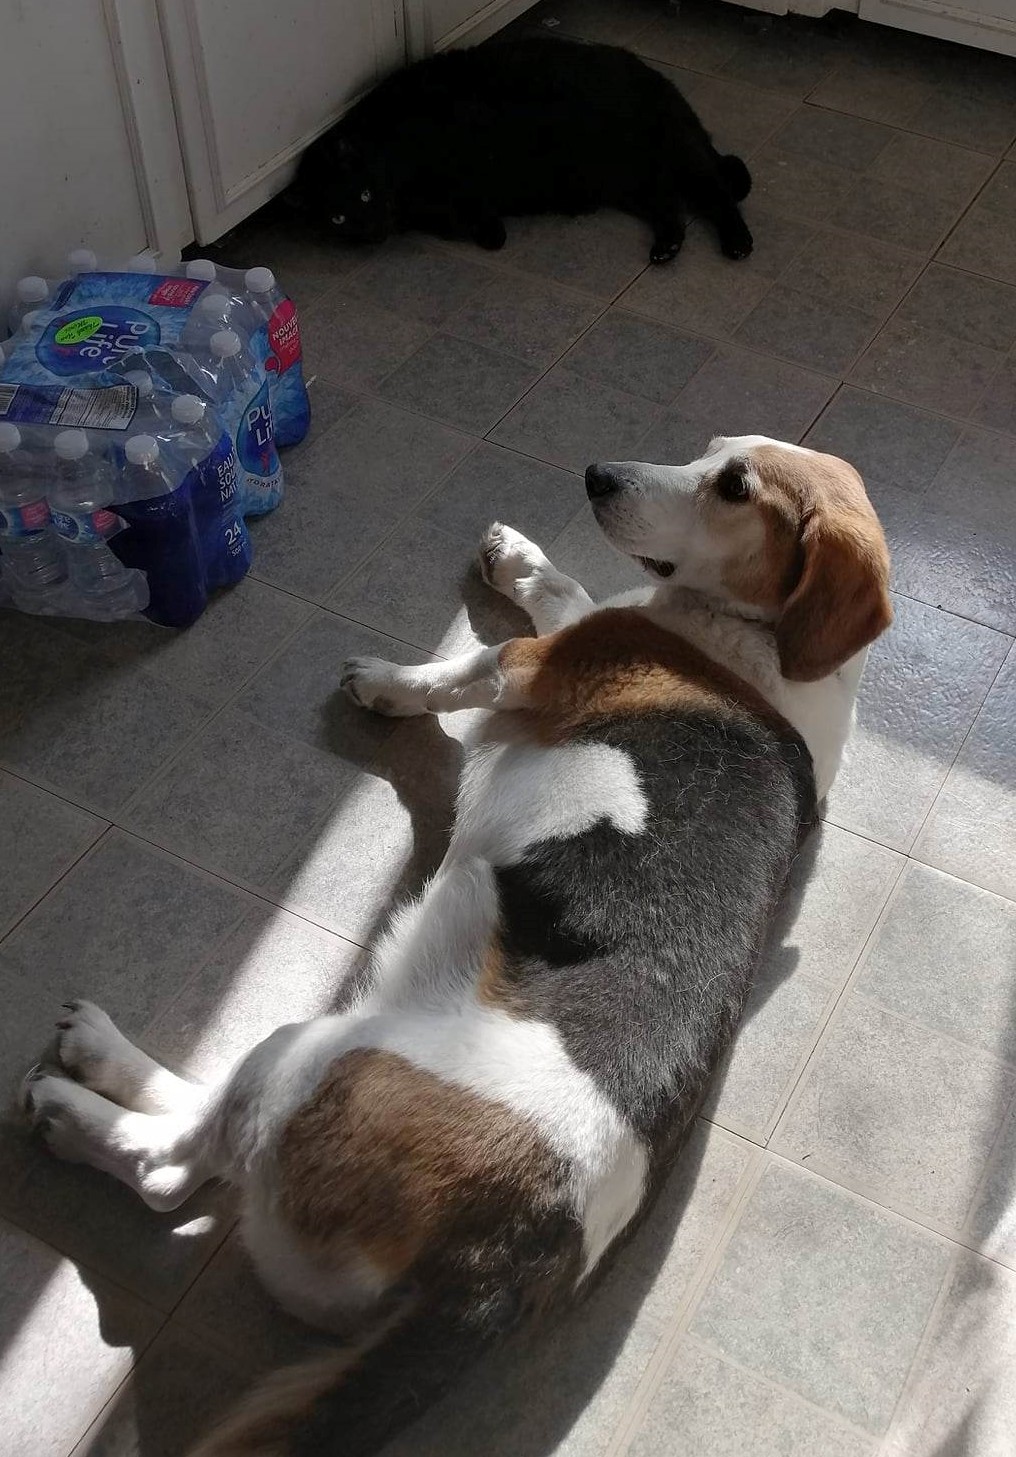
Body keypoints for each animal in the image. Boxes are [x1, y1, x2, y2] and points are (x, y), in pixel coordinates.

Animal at [22, 436, 890, 1457]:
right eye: (716, 450)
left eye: (732, 488)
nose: (597, 477)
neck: (772, 654)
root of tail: (493, 1273)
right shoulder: (575, 628)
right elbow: (565, 588)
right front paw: (516, 557)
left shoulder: (526, 664)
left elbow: (457, 669)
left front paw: (386, 686)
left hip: (311, 1057)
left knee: (173, 1166)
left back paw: (81, 1090)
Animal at [287, 36, 753, 265]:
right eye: (338, 218)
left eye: (365, 194)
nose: (371, 228)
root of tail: (660, 79)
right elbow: (449, 218)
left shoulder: (462, 161)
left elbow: (465, 209)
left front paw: (490, 232)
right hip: (632, 180)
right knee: (671, 206)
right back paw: (667, 247)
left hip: (674, 156)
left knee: (718, 195)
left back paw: (738, 243)